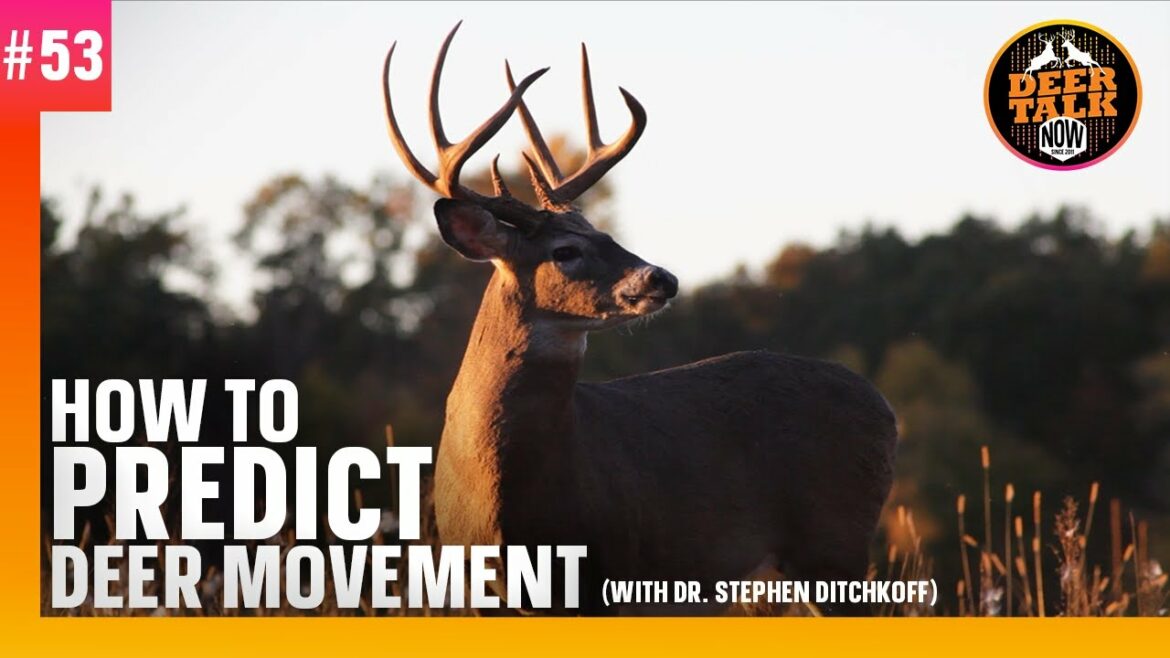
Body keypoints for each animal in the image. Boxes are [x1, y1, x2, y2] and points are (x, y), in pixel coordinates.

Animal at [381, 23, 897, 615]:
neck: (505, 503)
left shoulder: (609, 571)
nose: (661, 278)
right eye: (566, 250)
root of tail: (885, 407)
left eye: (606, 232)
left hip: (832, 545)